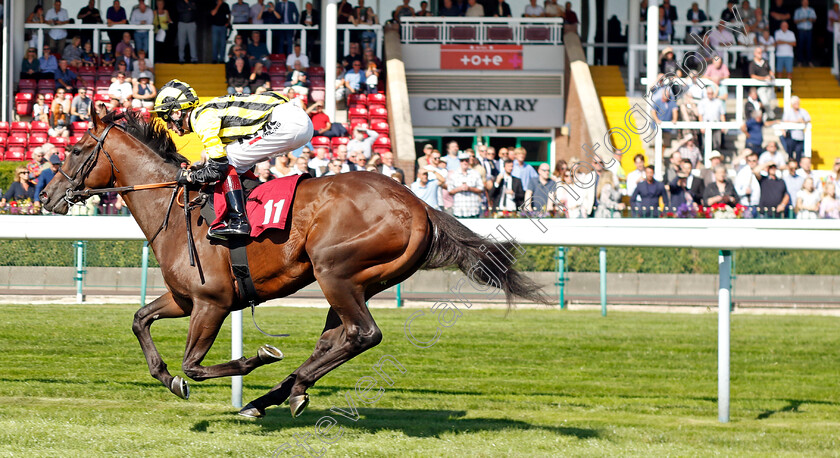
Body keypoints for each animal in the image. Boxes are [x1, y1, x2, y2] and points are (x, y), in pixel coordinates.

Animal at [39, 108, 552, 418]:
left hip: (334, 271)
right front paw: (166, 378)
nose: (45, 196)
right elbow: (140, 319)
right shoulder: (185, 298)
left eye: (76, 149)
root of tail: (419, 203)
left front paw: (253, 358)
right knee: (338, 339)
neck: (179, 204)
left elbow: (196, 366)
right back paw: (277, 395)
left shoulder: (211, 301)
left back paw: (283, 389)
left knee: (362, 334)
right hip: (359, 281)